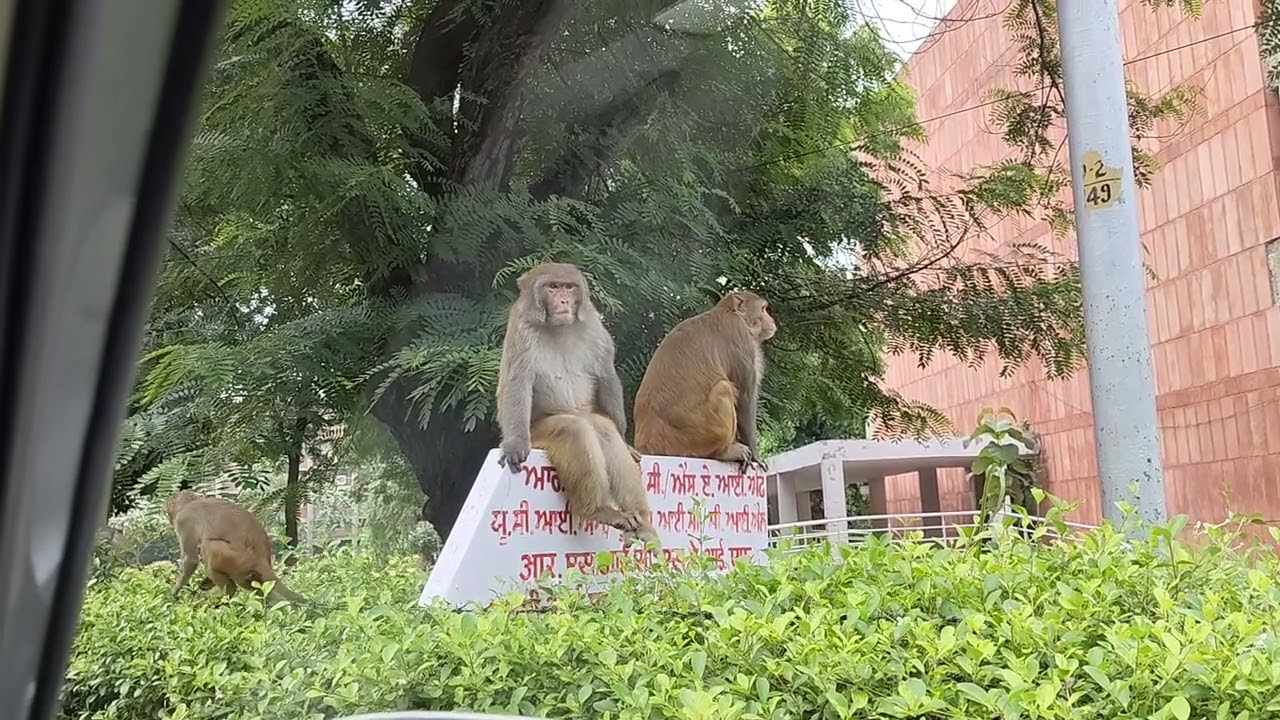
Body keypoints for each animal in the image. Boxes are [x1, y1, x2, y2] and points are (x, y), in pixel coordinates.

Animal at [164, 490, 310, 607]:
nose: (170, 520)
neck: (193, 501)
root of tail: (261, 557)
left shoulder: (183, 520)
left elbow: (190, 559)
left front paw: (173, 593)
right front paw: (205, 582)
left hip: (235, 559)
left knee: (209, 546)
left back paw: (228, 594)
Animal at [495, 262, 659, 545]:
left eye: (568, 287)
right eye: (552, 287)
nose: (563, 300)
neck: (559, 328)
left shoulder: (595, 326)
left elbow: (606, 375)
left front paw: (626, 443)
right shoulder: (521, 328)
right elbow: (518, 383)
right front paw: (515, 444)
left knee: (603, 427)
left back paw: (642, 521)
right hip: (538, 432)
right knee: (574, 429)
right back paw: (597, 510)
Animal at [633, 291, 777, 471]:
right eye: (763, 309)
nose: (772, 321)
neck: (730, 312)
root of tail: (647, 443)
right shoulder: (742, 338)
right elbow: (745, 398)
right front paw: (756, 456)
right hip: (696, 438)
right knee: (723, 388)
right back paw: (724, 452)